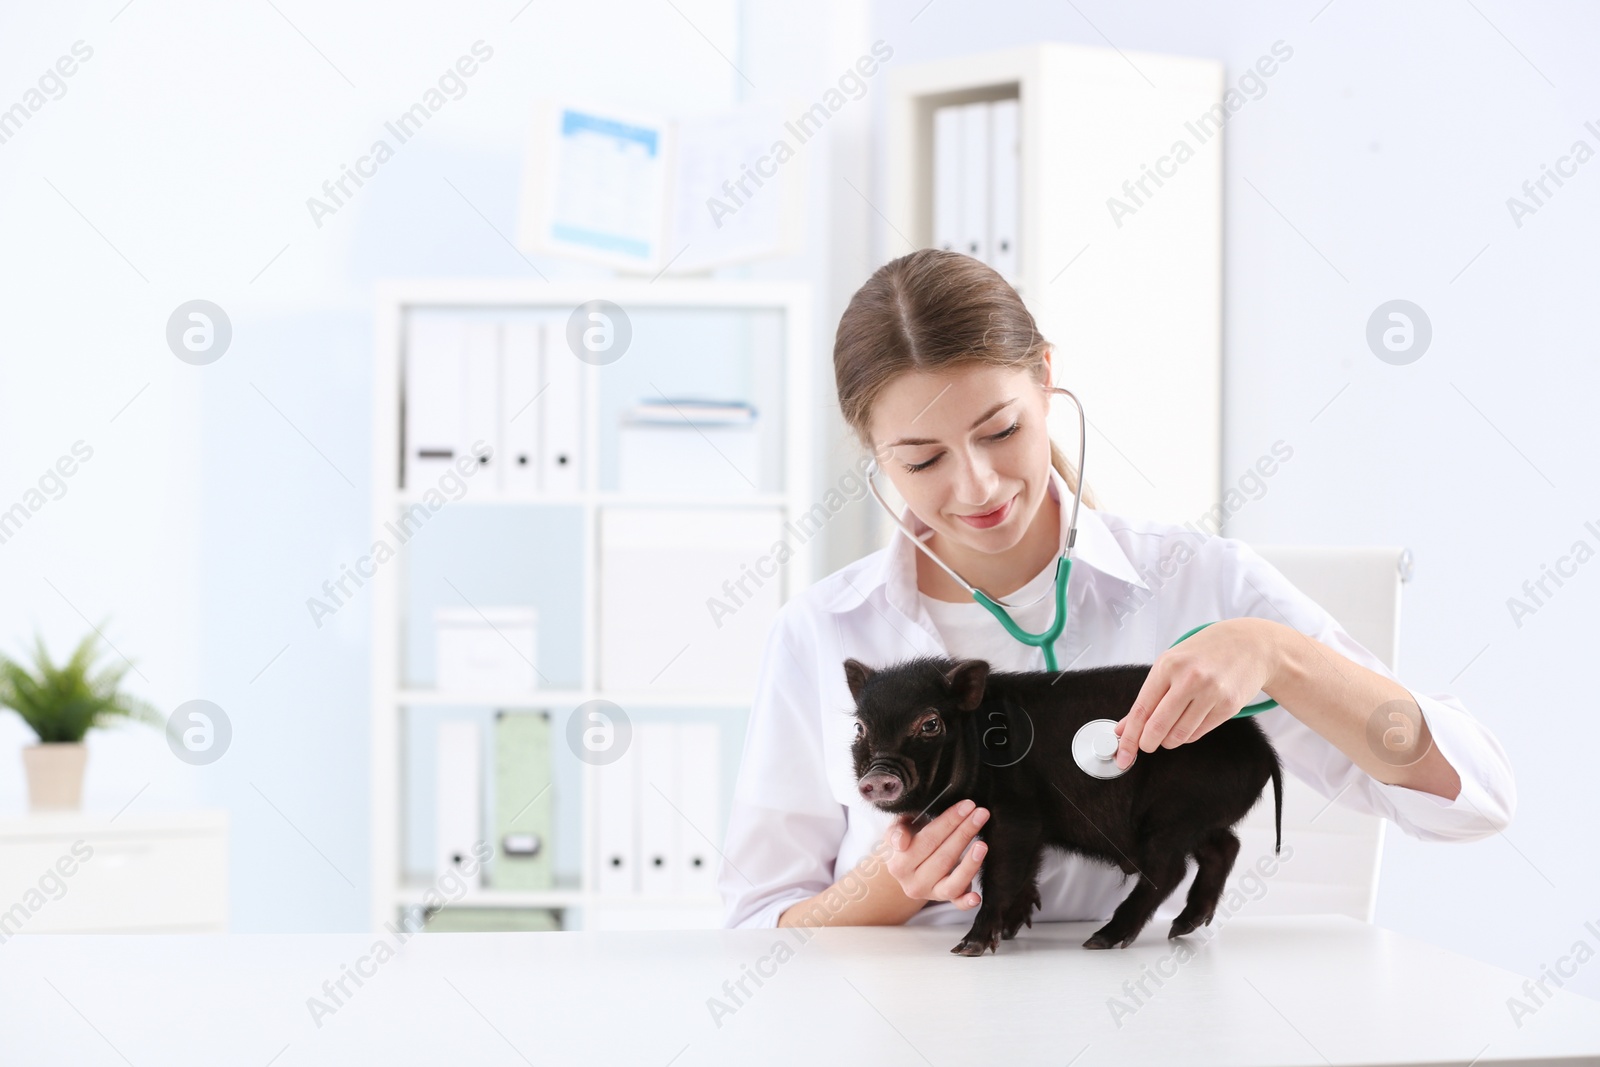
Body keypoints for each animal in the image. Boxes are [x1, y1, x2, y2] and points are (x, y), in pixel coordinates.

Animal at [844, 655, 1280, 953]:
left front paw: (969, 948)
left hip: (1172, 815)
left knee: (1169, 869)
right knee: (1225, 846)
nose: (877, 776)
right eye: (860, 727)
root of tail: (1264, 751)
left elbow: (1000, 875)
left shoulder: (1016, 813)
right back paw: (1183, 927)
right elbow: (1026, 871)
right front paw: (1012, 930)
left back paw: (1101, 940)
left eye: (930, 724)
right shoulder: (1034, 827)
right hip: (1196, 819)